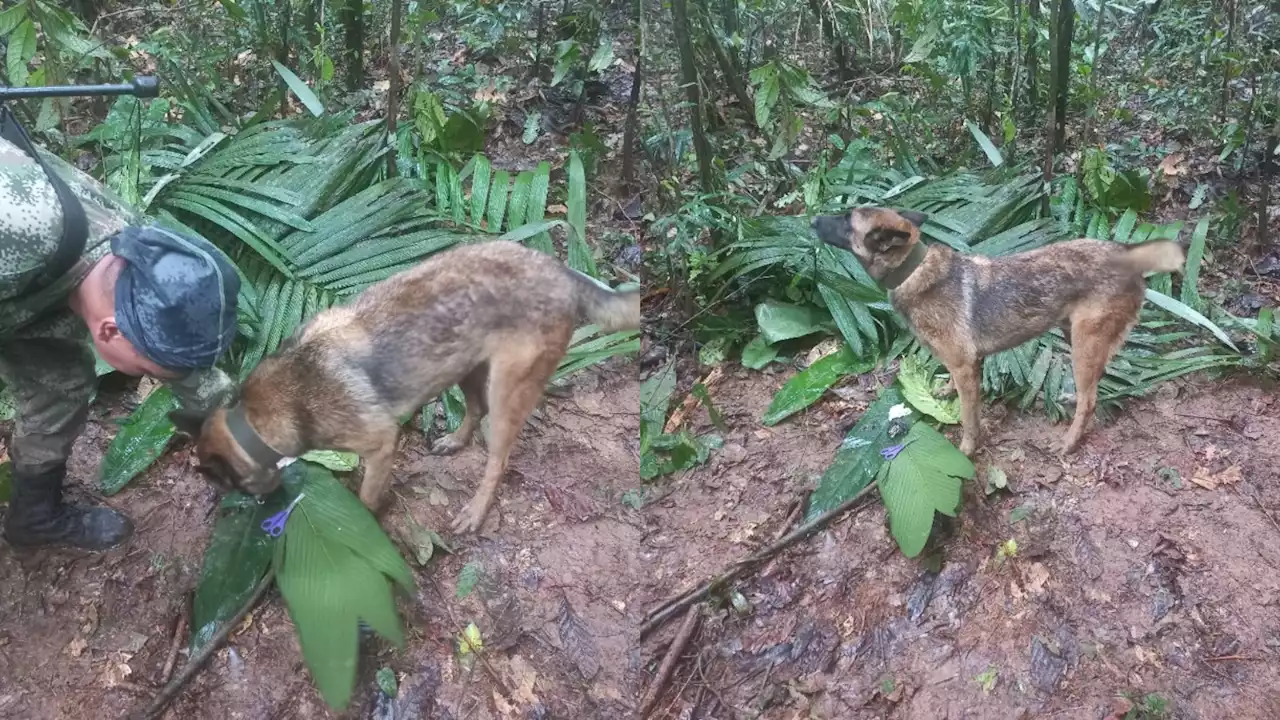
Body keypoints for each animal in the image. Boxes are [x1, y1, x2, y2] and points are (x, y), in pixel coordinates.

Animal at [170, 238, 645, 530]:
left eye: (232, 487)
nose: (260, 509)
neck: (259, 416)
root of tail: (561, 271)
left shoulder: (381, 443)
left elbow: (365, 496)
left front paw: (365, 523)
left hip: (507, 390)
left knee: (498, 457)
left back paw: (476, 510)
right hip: (465, 367)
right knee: (475, 409)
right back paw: (454, 441)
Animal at [814, 206, 1182, 453]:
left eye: (846, 219)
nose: (812, 219)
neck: (913, 270)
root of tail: (1126, 253)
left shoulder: (966, 367)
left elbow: (968, 419)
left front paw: (966, 450)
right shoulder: (964, 365)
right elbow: (954, 389)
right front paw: (946, 391)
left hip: (1084, 342)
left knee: (1090, 400)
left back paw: (1069, 442)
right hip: (1074, 335)